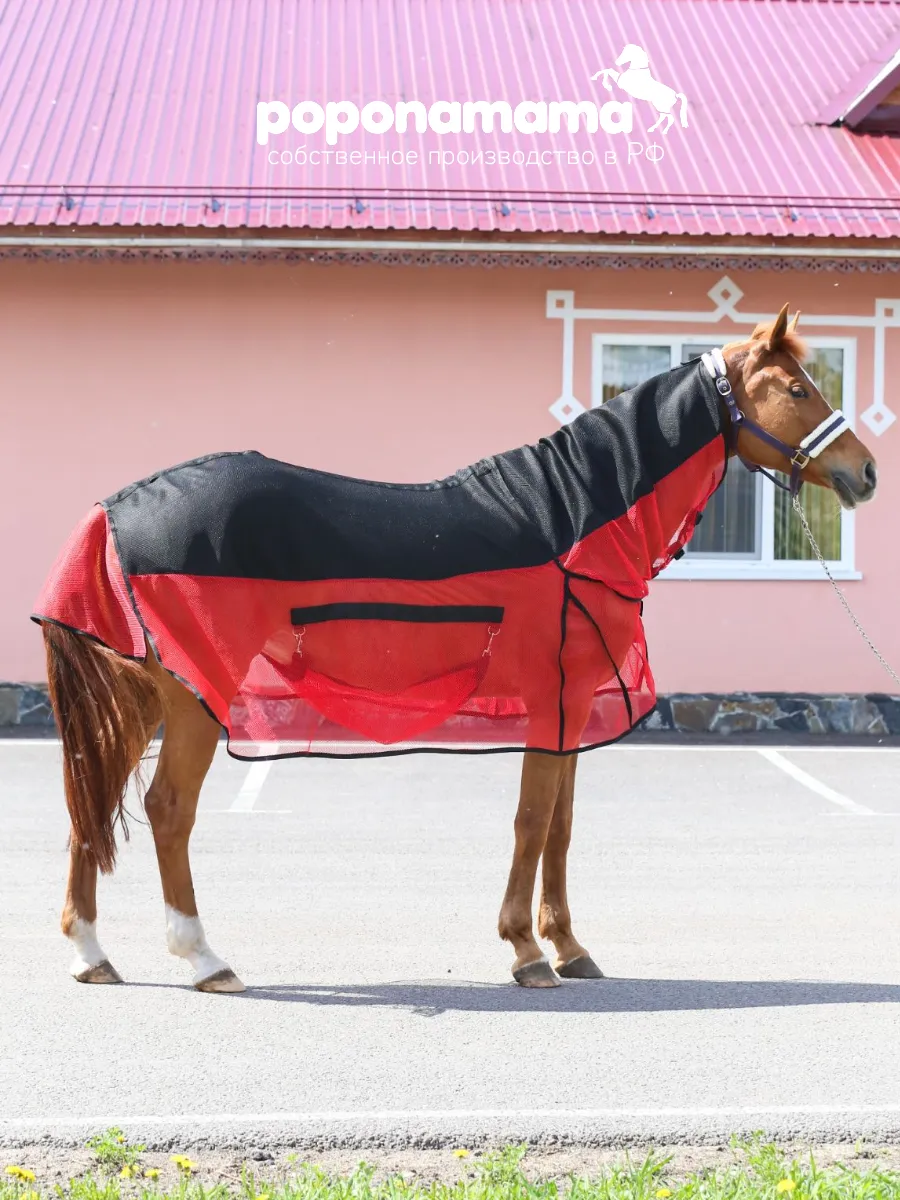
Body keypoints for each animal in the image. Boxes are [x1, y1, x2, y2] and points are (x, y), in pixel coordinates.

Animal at [35, 305, 877, 993]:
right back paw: (205, 958)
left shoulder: (571, 707)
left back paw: (91, 954)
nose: (865, 472)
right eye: (797, 388)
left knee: (91, 797)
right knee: (167, 809)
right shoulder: (557, 701)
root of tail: (118, 506)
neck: (575, 516)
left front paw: (571, 947)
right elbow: (533, 820)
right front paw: (526, 953)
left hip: (147, 696)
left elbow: (562, 825)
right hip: (195, 697)